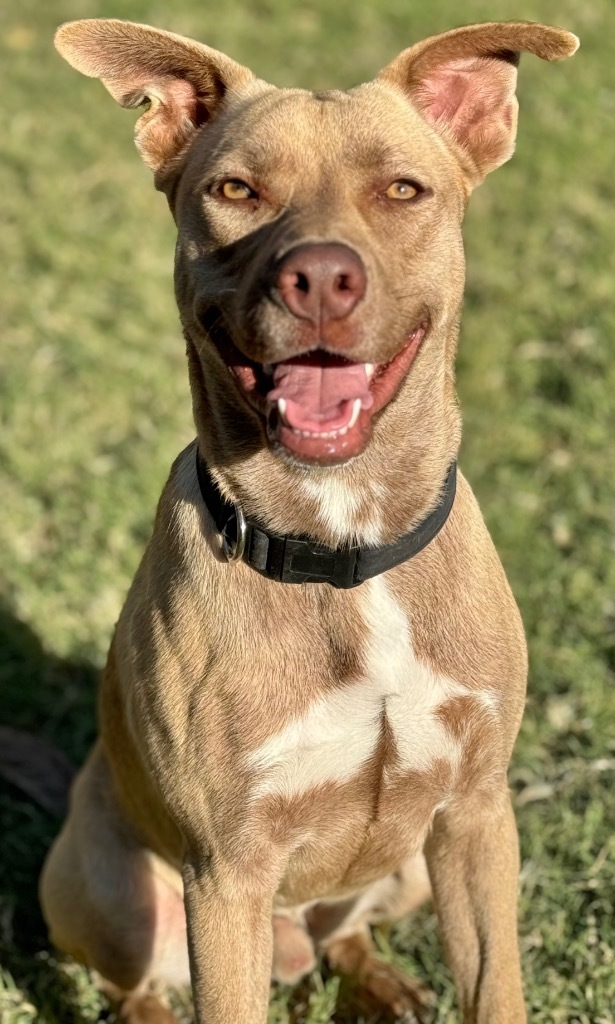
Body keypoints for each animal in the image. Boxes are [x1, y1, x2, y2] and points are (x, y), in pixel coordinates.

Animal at [40, 18, 577, 1024]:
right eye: (235, 191)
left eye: (402, 189)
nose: (321, 277)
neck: (343, 544)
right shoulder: (227, 875)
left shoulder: (477, 816)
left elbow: (495, 987)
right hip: (114, 893)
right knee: (131, 984)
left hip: (410, 870)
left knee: (347, 932)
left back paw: (382, 983)